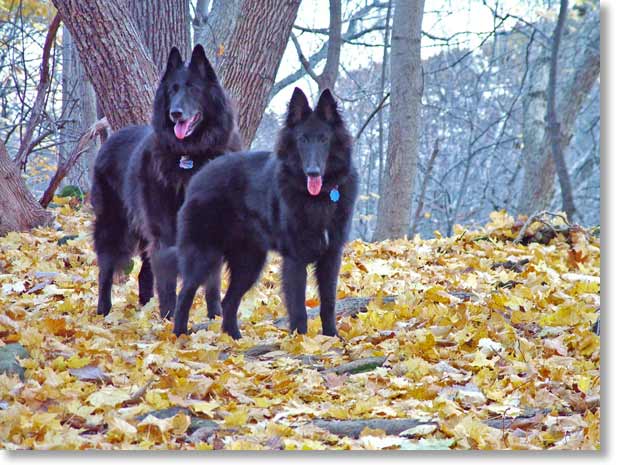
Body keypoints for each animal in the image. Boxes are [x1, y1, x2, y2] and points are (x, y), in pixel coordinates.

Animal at [92, 45, 242, 318]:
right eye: (173, 89)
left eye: (193, 88)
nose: (175, 113)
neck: (190, 156)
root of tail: (109, 139)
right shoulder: (165, 231)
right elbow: (169, 279)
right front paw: (170, 319)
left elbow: (212, 282)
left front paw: (215, 317)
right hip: (113, 226)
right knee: (105, 270)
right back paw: (104, 312)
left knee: (144, 273)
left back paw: (145, 307)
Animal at [173, 88, 358, 338]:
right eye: (302, 140)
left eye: (324, 139)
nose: (313, 172)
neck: (318, 198)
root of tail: (200, 175)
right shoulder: (295, 259)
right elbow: (298, 306)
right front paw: (300, 340)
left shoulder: (332, 256)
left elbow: (328, 302)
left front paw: (331, 337)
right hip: (204, 256)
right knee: (185, 294)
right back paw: (178, 336)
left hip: (250, 262)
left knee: (228, 301)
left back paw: (234, 338)